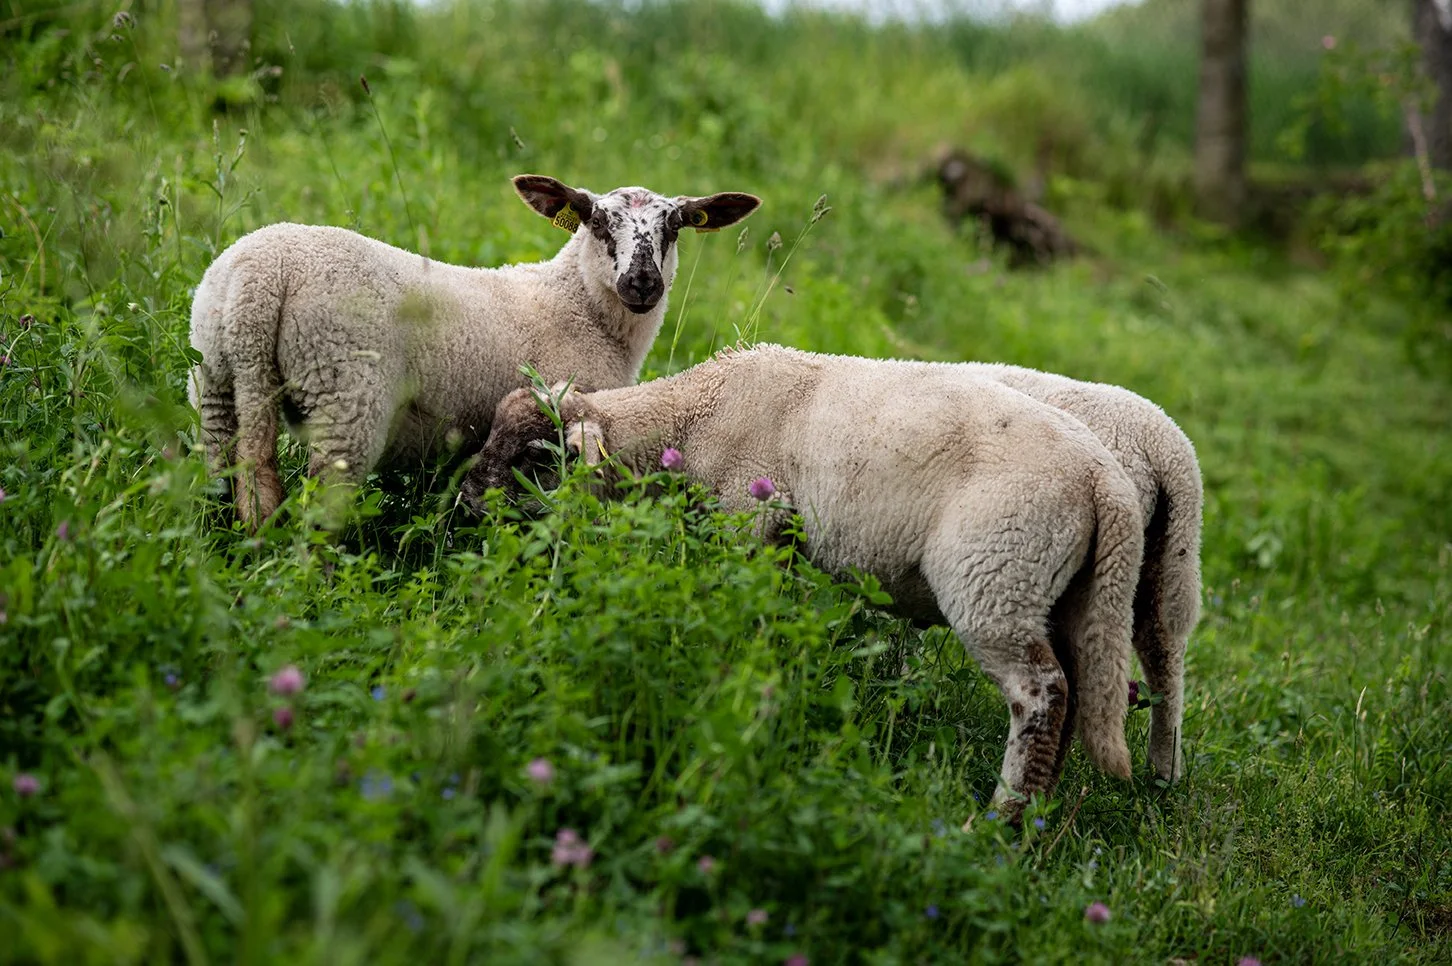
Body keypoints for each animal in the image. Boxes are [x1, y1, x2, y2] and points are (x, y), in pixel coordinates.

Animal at [187, 174, 761, 530]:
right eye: (597, 222)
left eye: (675, 226)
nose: (643, 283)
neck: (576, 303)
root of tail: (260, 279)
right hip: (344, 394)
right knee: (320, 513)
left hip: (216, 380)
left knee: (226, 477)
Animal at [460, 344, 1146, 821]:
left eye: (536, 458)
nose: (465, 503)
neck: (696, 413)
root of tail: (1104, 485)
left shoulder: (748, 515)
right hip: (1064, 594)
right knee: (1076, 691)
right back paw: (1036, 817)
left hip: (997, 576)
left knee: (1042, 693)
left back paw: (999, 822)